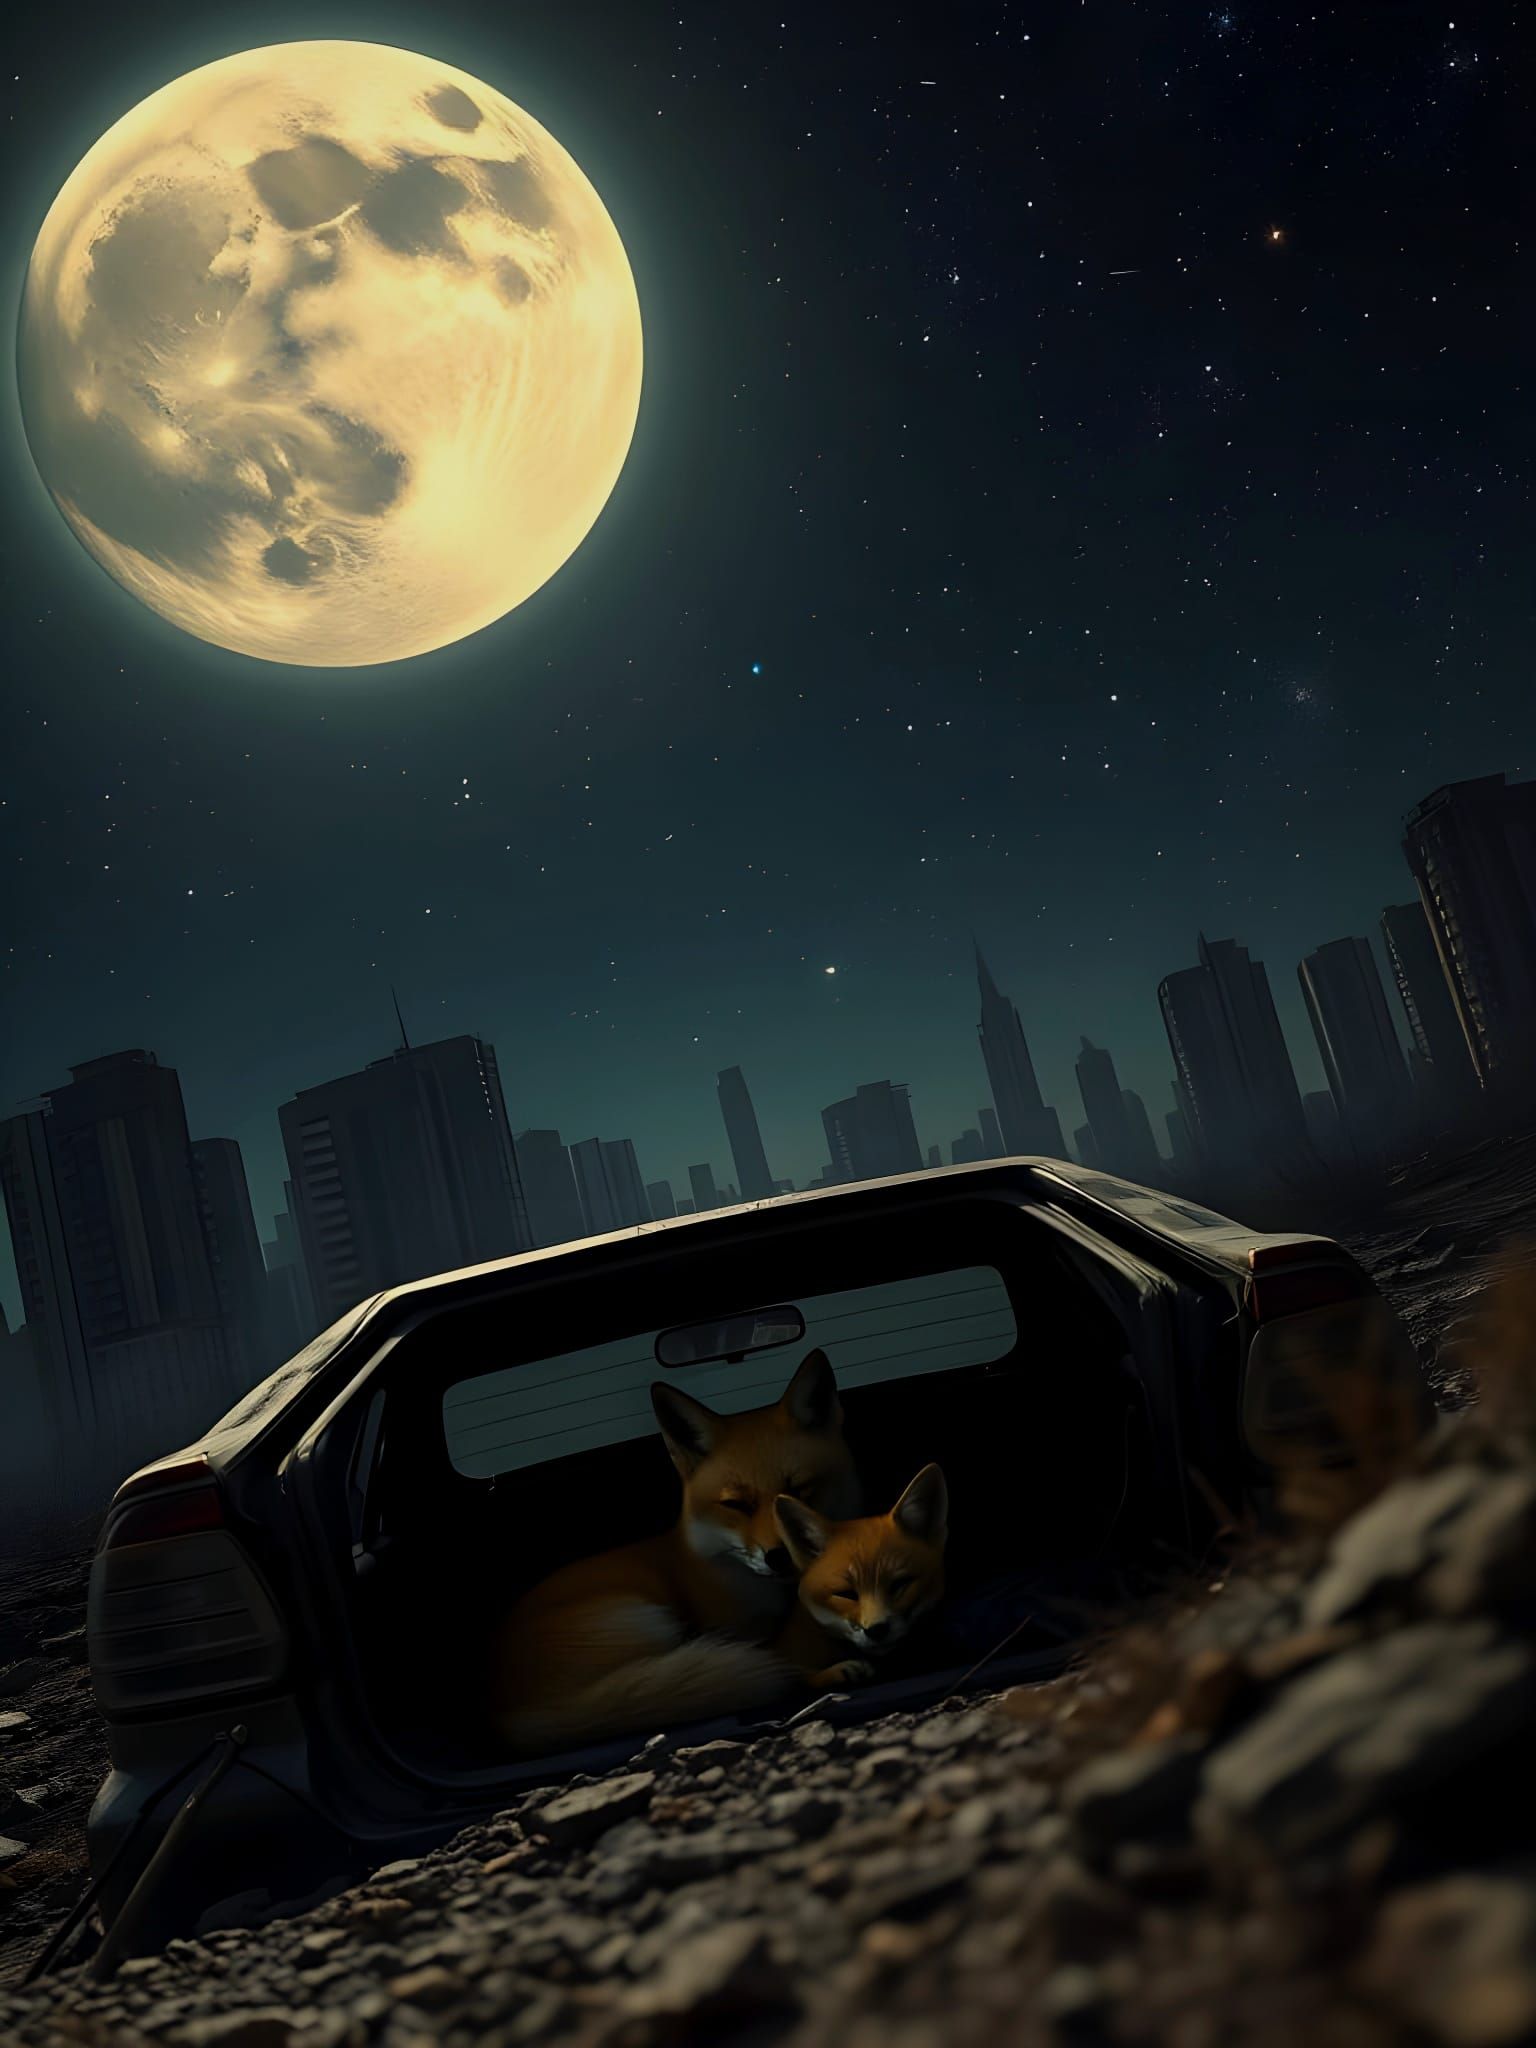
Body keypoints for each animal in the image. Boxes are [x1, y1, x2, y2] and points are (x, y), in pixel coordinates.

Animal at [491, 1349, 862, 1752]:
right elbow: (780, 1657)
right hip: (655, 1623)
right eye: (736, 1505)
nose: (778, 1557)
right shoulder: (735, 1631)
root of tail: (512, 1715)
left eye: (797, 1490)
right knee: (775, 1671)